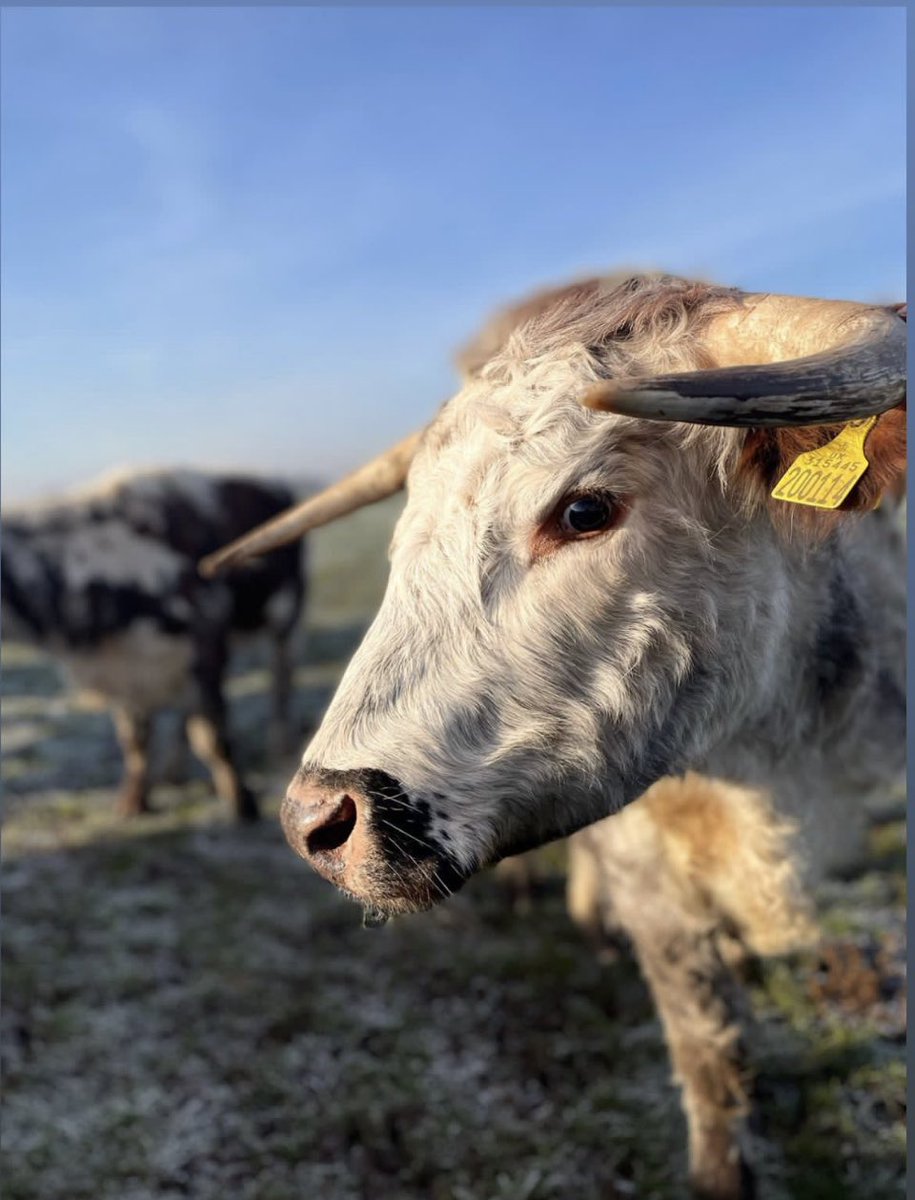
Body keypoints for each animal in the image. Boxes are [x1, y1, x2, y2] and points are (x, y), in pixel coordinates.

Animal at [2, 467, 306, 822]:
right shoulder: (127, 670)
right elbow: (135, 739)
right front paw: (135, 798)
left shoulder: (207, 642)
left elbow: (214, 737)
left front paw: (241, 801)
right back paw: (173, 772)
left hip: (288, 619)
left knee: (281, 681)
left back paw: (281, 744)